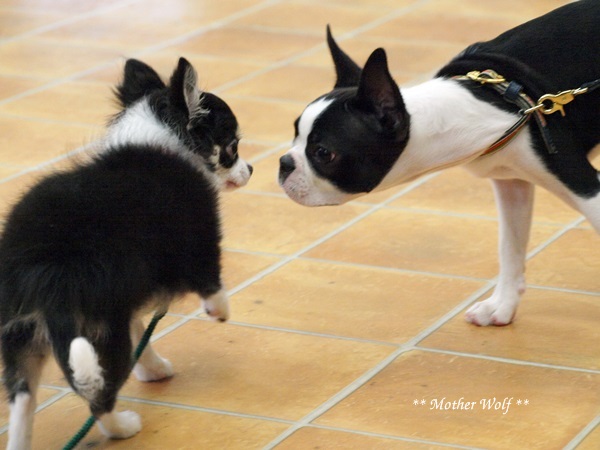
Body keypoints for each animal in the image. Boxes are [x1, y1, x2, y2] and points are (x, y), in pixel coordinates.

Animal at [0, 58, 253, 448]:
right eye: (232, 147)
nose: (251, 169)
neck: (164, 134)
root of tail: (43, 275)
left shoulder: (129, 290)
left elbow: (141, 332)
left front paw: (153, 368)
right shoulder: (200, 234)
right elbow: (211, 279)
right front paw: (220, 311)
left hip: (22, 337)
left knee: (23, 399)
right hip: (101, 330)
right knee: (98, 397)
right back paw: (122, 427)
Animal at [278, 2, 596, 326]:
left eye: (323, 153)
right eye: (294, 134)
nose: (284, 163)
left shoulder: (586, 188)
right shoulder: (511, 183)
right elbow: (510, 247)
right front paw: (501, 306)